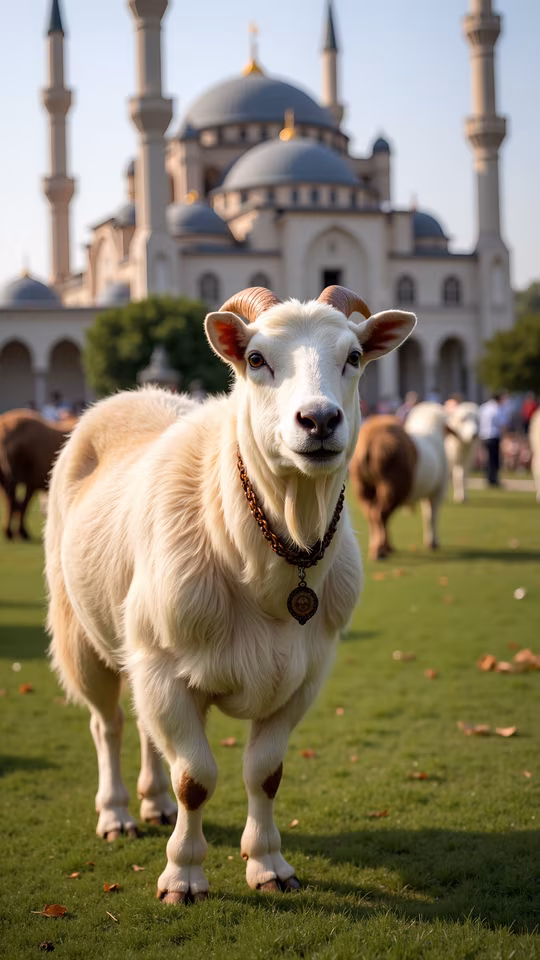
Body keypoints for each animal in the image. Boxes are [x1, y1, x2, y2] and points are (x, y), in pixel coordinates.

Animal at [349, 415, 417, 560]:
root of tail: (368, 443)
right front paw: (387, 547)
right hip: (393, 484)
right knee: (380, 513)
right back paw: (379, 550)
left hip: (360, 484)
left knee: (371, 512)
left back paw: (376, 548)